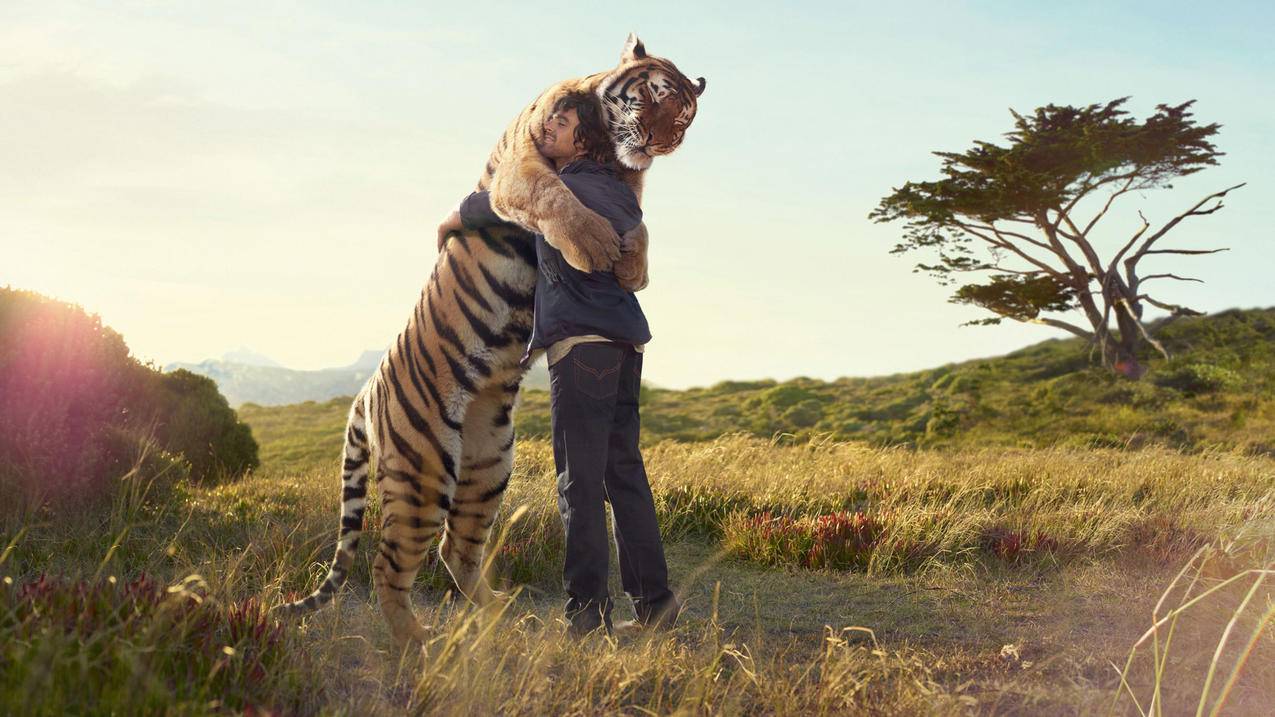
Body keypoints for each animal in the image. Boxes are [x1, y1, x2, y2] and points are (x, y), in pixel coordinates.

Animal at [275, 34, 708, 648]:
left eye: (686, 117)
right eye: (653, 95)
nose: (660, 140)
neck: (606, 150)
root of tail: (364, 392)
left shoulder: (630, 188)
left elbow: (640, 223)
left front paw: (632, 266)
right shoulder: (521, 168)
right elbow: (555, 196)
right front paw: (596, 246)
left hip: (487, 466)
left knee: (454, 549)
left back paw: (500, 617)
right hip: (425, 472)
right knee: (389, 563)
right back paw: (418, 642)